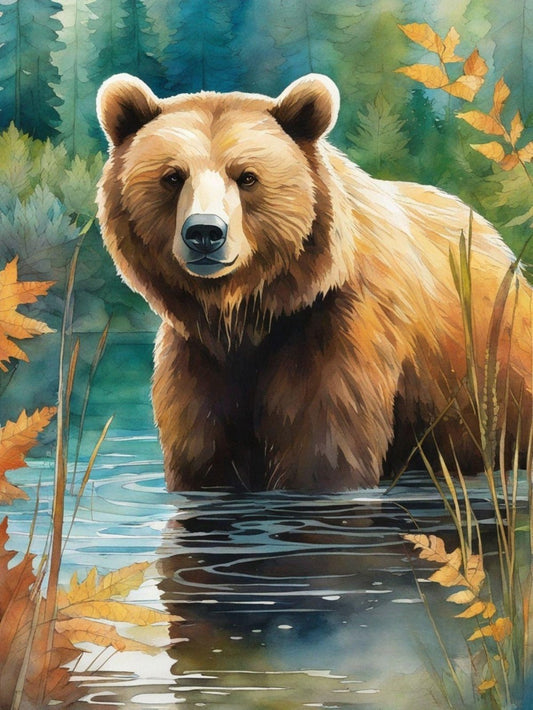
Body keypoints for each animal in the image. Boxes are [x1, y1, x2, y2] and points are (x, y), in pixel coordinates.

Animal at [96, 72, 532, 491]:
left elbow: (325, 450)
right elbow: (202, 455)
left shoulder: (335, 328)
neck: (248, 310)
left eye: (247, 177)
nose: (205, 232)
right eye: (172, 176)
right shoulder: (199, 356)